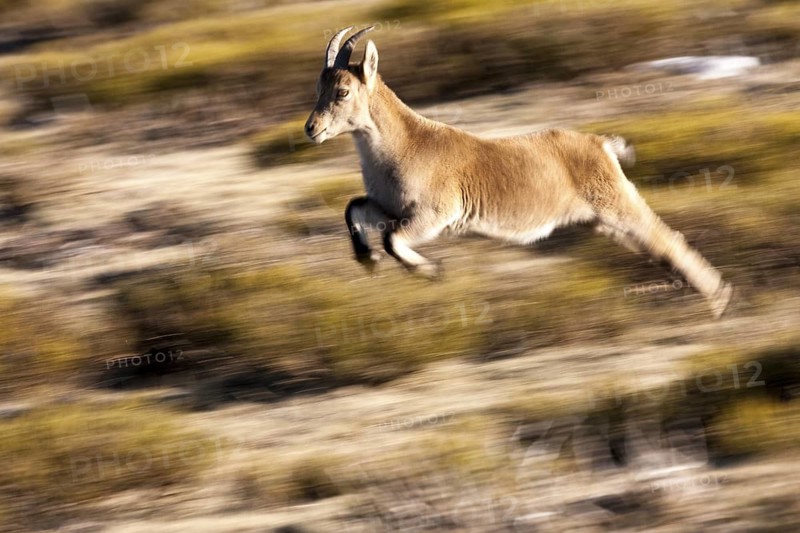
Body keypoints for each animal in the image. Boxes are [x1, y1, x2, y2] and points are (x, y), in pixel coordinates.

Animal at [304, 26, 733, 318]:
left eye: (342, 91)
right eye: (319, 89)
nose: (312, 129)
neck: (406, 145)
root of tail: (602, 145)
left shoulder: (435, 215)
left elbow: (393, 239)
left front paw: (431, 272)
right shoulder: (389, 207)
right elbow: (354, 209)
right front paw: (368, 260)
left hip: (616, 203)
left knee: (667, 237)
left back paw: (717, 300)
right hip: (602, 221)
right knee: (657, 246)